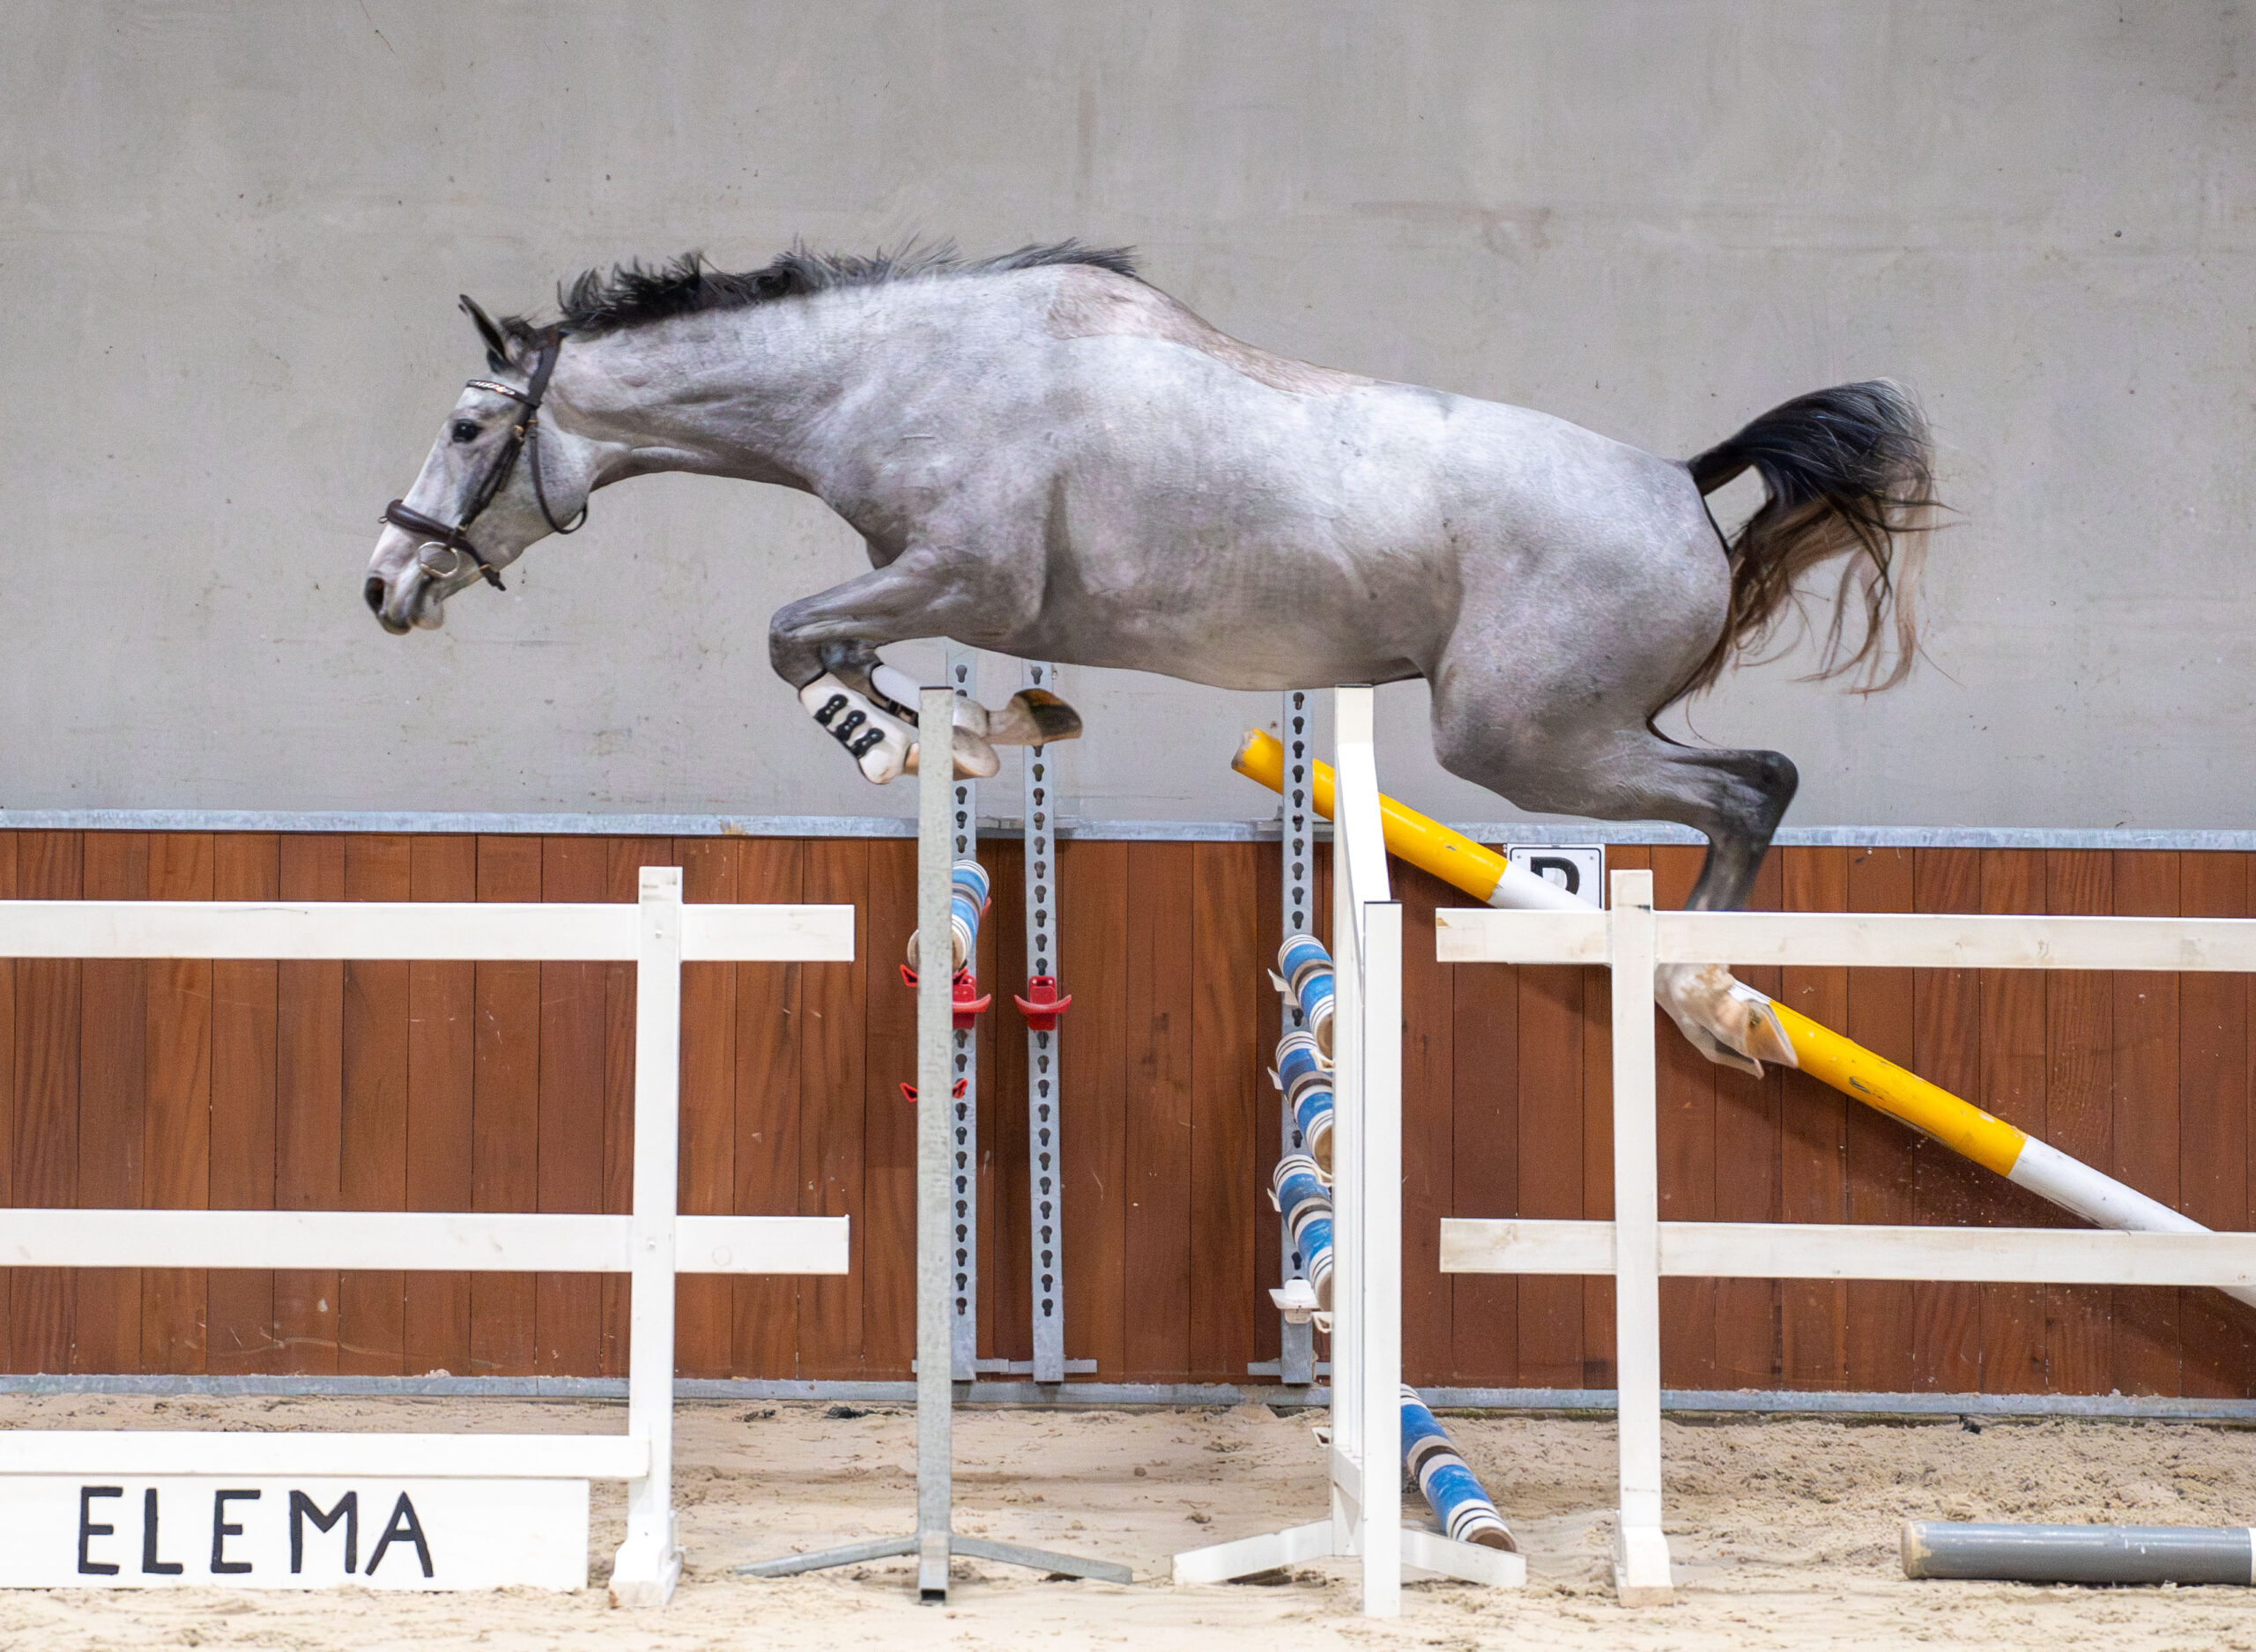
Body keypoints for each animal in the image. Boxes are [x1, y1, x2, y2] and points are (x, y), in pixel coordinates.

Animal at [364, 242, 1936, 1071]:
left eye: (466, 426)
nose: (385, 584)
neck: (888, 369)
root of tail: (1682, 480)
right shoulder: (936, 586)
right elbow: (850, 645)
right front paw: (983, 728)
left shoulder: (964, 571)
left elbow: (793, 637)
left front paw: (904, 740)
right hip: (1572, 733)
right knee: (1746, 786)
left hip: (1525, 738)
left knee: (1752, 786)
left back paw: (1710, 998)